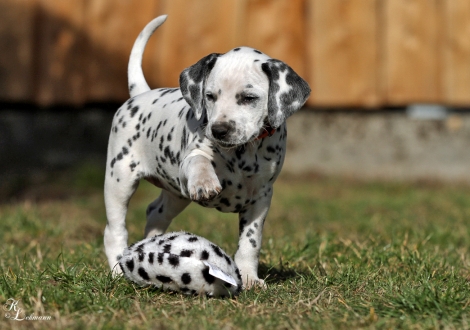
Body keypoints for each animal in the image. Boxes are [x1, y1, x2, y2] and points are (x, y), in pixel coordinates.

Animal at [104, 15, 310, 288]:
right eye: (210, 96)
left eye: (249, 98)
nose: (219, 130)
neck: (243, 153)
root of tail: (142, 94)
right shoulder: (191, 157)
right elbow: (200, 161)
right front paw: (205, 182)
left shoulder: (262, 195)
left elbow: (250, 241)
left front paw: (249, 277)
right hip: (119, 180)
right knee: (114, 230)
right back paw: (118, 269)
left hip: (175, 195)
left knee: (155, 212)